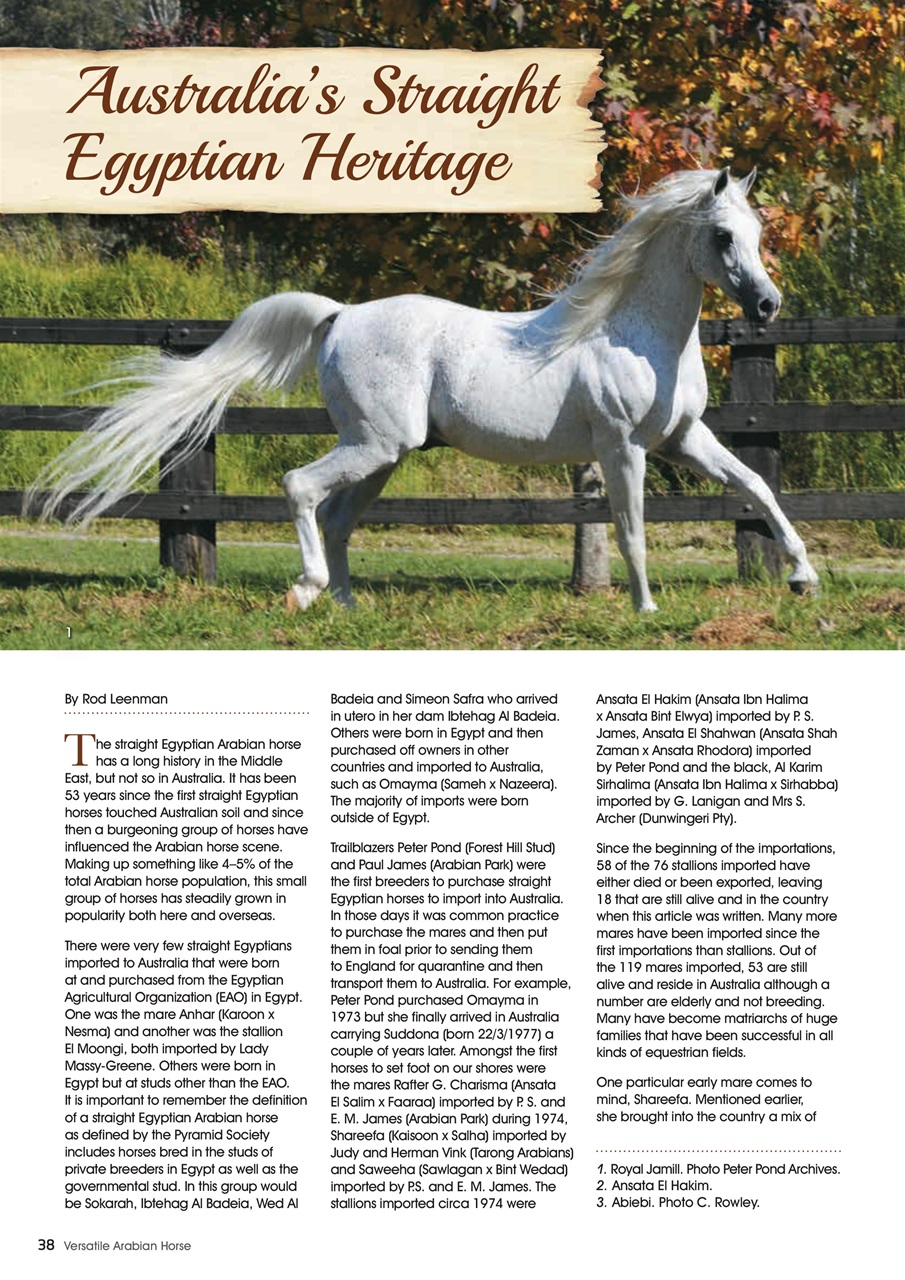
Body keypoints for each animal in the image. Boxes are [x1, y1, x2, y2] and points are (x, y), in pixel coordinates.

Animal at [29, 167, 818, 612]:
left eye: (756, 228)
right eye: (722, 236)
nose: (767, 306)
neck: (634, 333)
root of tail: (340, 315)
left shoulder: (684, 439)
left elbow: (756, 487)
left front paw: (803, 577)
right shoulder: (623, 448)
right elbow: (630, 530)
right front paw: (646, 610)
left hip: (383, 454)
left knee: (338, 517)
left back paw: (347, 606)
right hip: (378, 444)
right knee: (301, 488)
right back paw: (306, 591)